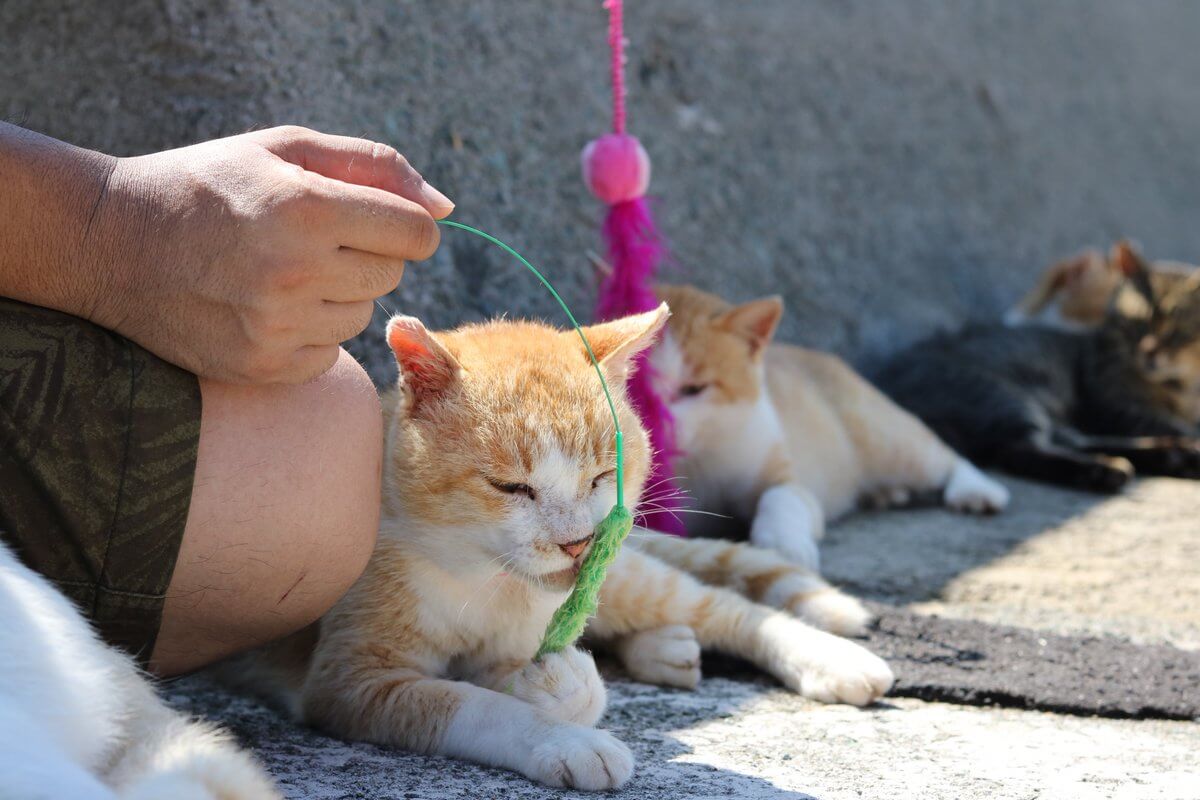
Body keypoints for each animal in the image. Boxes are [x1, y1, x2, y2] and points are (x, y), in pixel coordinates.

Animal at [873, 241, 1200, 491]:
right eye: (1139, 322)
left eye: (1177, 331)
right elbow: (1163, 422)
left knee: (1075, 441)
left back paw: (1173, 454)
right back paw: (1105, 469)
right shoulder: (1117, 406)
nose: (1149, 351)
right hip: (999, 396)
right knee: (1021, 451)